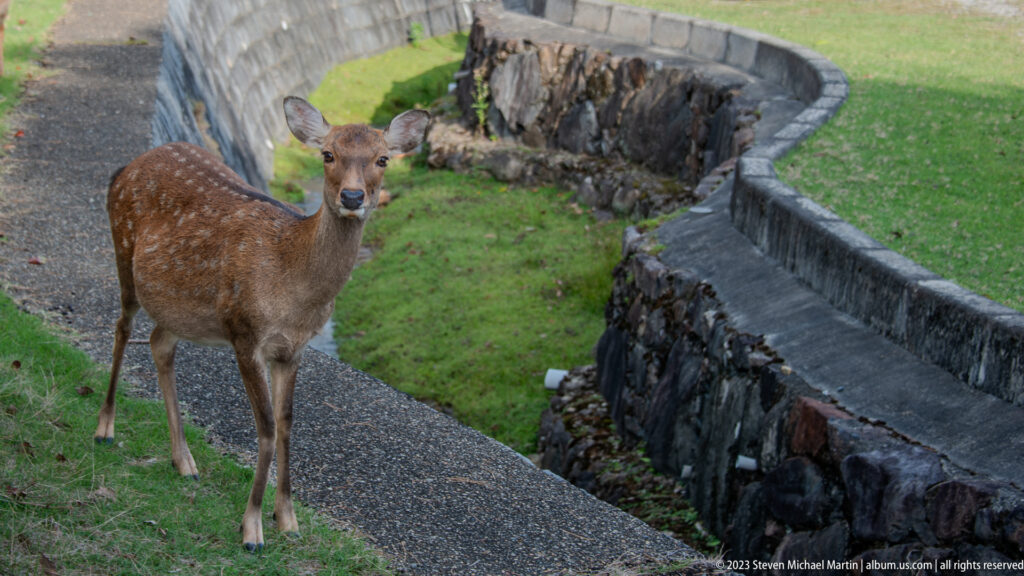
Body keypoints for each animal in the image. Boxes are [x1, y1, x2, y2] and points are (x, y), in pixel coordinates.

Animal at [94, 96, 429, 551]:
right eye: (328, 154)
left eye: (383, 159)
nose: (352, 195)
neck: (295, 292)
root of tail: (125, 168)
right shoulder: (244, 331)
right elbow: (266, 427)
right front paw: (251, 529)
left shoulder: (292, 348)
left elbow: (287, 424)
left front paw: (286, 519)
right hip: (123, 248)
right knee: (122, 328)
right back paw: (105, 429)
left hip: (176, 306)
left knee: (159, 342)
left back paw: (185, 462)